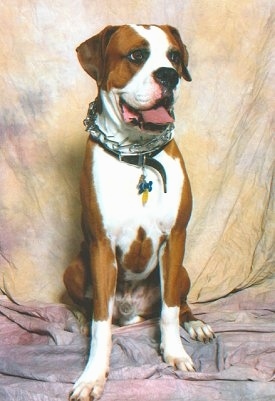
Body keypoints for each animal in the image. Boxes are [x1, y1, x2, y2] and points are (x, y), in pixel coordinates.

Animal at [63, 25, 215, 400]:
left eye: (174, 56)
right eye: (136, 55)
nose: (169, 76)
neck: (138, 157)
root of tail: (132, 313)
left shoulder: (175, 240)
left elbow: (170, 311)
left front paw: (175, 353)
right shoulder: (101, 246)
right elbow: (101, 323)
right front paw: (93, 375)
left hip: (184, 271)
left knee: (179, 304)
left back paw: (197, 324)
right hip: (75, 269)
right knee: (89, 308)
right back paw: (78, 319)